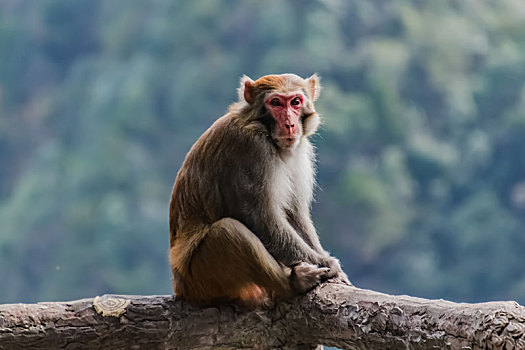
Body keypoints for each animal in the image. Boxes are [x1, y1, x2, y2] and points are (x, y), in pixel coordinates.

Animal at [168, 73, 348, 306]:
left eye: (295, 102)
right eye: (276, 103)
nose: (290, 124)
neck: (266, 132)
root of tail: (180, 287)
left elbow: (294, 214)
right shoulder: (251, 148)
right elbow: (260, 217)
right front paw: (326, 263)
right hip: (200, 278)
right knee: (228, 232)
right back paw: (291, 285)